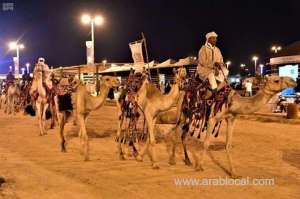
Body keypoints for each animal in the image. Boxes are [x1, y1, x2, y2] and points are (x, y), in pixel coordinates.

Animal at [168, 75, 296, 177]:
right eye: (276, 80)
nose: (293, 80)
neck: (233, 102)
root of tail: (183, 90)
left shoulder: (231, 119)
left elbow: (228, 145)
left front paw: (234, 173)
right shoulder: (212, 119)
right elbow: (206, 143)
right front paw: (199, 167)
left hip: (191, 115)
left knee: (184, 135)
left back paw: (188, 161)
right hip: (183, 111)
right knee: (176, 130)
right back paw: (173, 160)